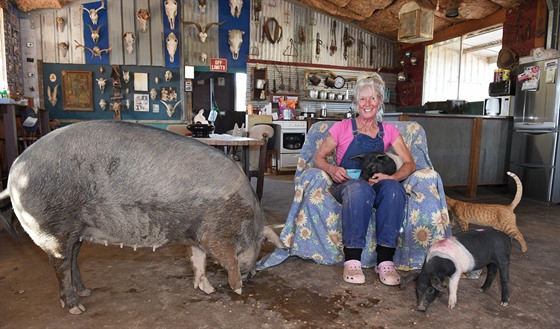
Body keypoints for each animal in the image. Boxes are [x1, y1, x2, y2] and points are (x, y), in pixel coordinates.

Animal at [0, 120, 284, 312]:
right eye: (260, 245)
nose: (253, 274)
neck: (247, 215)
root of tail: (15, 170)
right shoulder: (215, 233)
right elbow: (227, 259)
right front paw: (237, 287)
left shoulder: (194, 234)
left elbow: (198, 260)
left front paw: (206, 288)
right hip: (52, 226)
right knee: (60, 263)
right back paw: (76, 308)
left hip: (76, 230)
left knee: (72, 258)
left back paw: (86, 292)